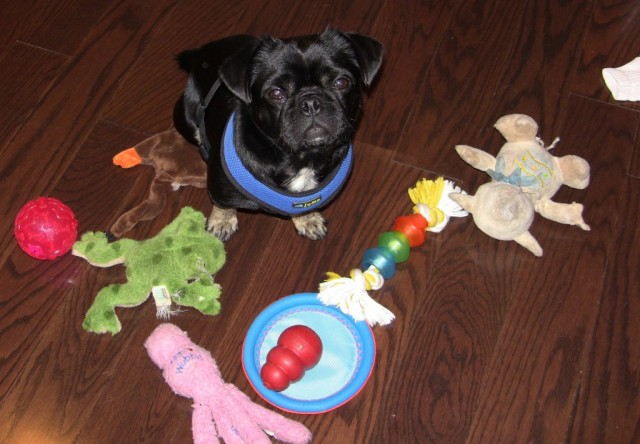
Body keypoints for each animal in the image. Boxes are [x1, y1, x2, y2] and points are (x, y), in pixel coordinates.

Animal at [172, 29, 382, 241]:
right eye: (276, 93)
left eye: (341, 83)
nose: (311, 102)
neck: (301, 159)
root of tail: (201, 53)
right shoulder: (220, 189)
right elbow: (224, 204)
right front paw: (221, 221)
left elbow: (303, 206)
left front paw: (307, 218)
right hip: (185, 119)